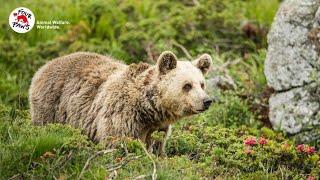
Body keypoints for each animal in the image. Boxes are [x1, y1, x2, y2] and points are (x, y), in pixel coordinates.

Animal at [29, 50, 212, 150]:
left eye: (202, 84)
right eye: (187, 85)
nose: (206, 101)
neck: (148, 109)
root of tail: (45, 65)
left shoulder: (156, 127)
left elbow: (156, 145)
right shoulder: (121, 115)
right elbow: (119, 143)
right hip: (52, 107)